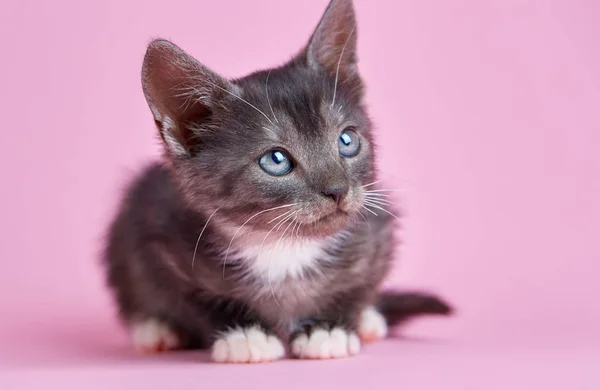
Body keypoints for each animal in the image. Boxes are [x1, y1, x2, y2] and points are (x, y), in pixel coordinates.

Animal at [103, 0, 450, 362]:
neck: (282, 245)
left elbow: (358, 286)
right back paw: (156, 329)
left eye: (347, 140)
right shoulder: (155, 235)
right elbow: (193, 299)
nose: (338, 190)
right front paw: (243, 334)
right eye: (276, 160)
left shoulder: (377, 235)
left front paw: (329, 329)